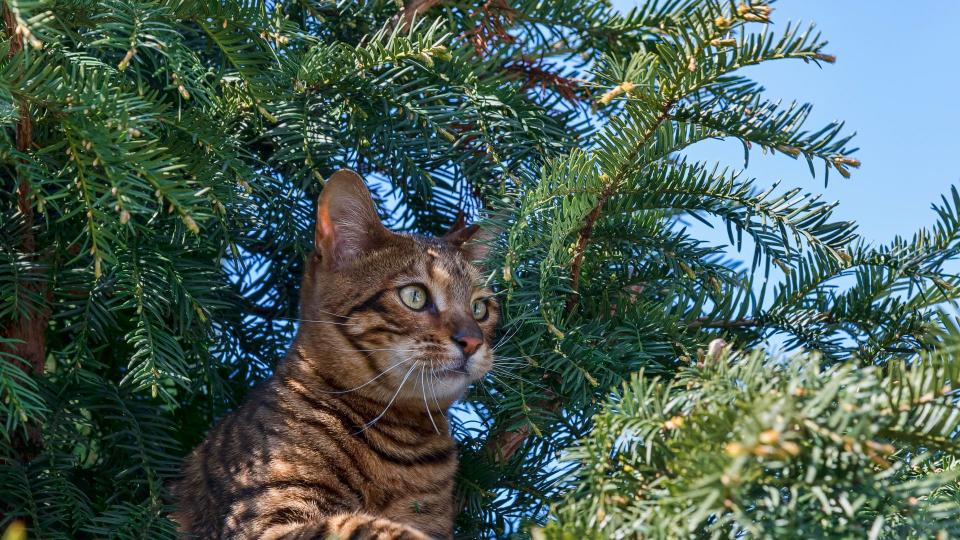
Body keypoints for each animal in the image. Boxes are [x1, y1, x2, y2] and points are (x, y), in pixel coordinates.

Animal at [172, 170, 498, 540]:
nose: (471, 340)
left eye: (480, 308)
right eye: (414, 296)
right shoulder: (263, 518)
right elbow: (359, 525)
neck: (403, 444)